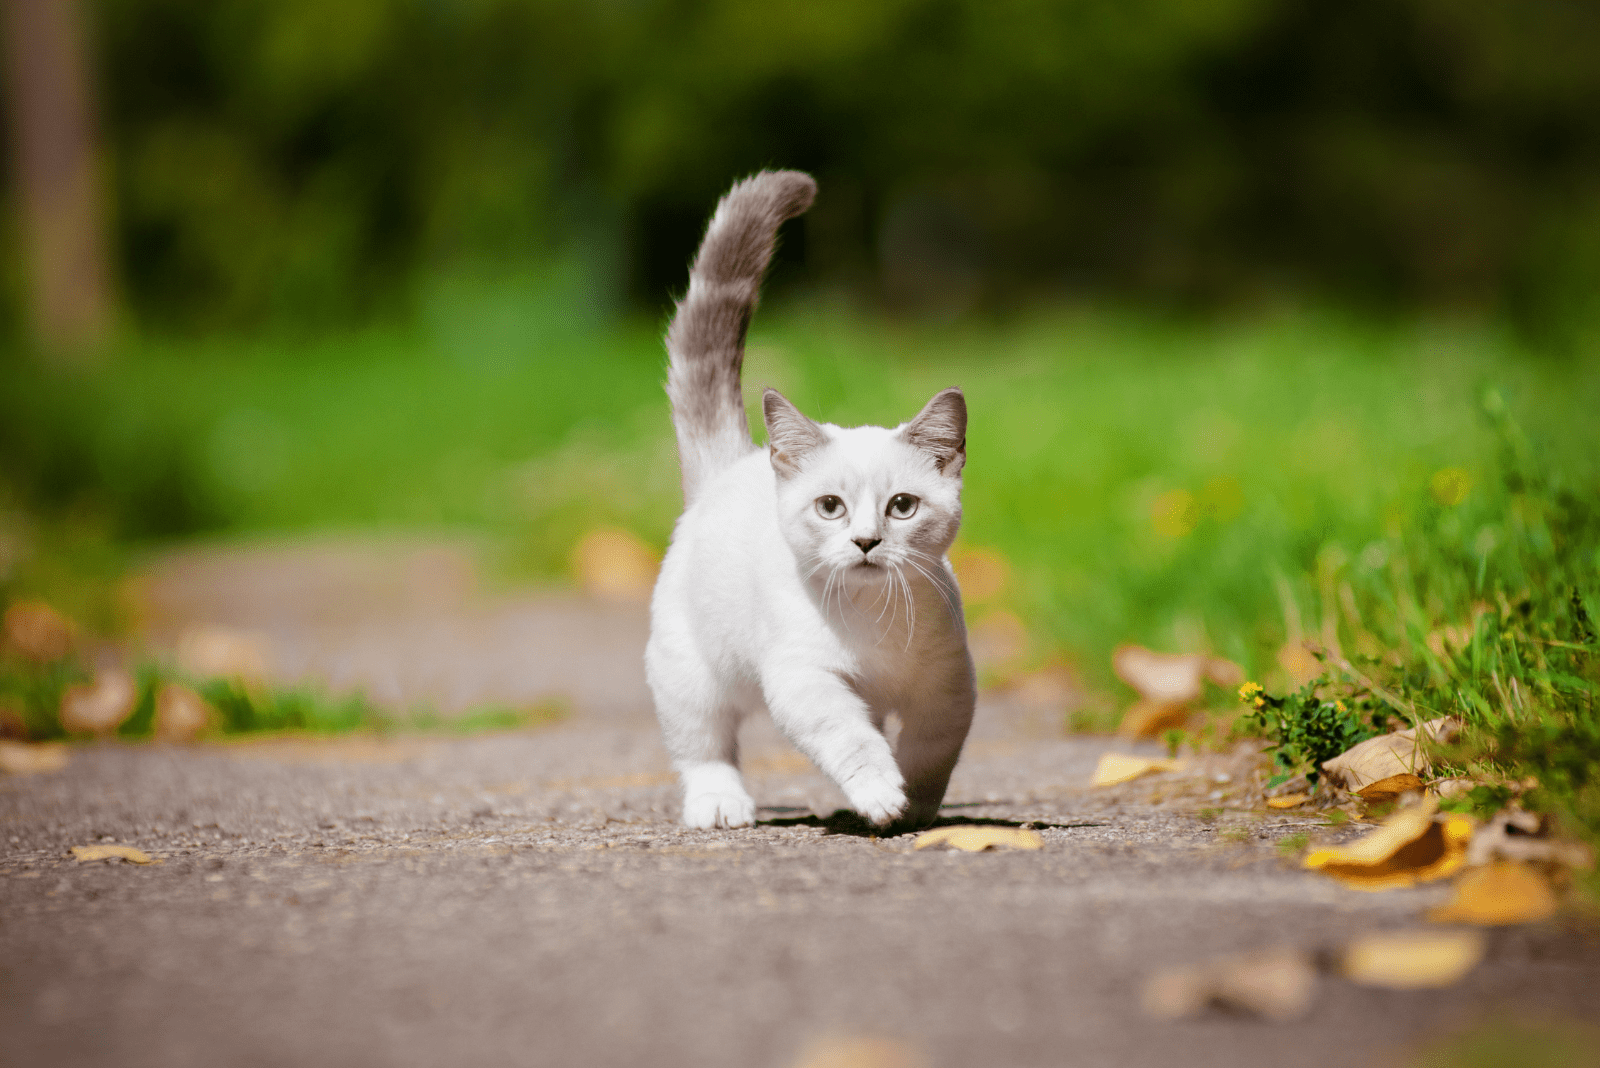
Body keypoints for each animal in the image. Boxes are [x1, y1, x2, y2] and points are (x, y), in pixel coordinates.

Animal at [646, 171, 972, 831]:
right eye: (830, 507)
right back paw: (720, 804)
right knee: (704, 746)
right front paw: (880, 793)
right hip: (689, 672)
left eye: (903, 506)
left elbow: (930, 750)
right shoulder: (804, 679)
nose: (867, 541)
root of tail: (732, 465)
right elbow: (851, 739)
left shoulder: (949, 687)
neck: (872, 626)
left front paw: (915, 807)